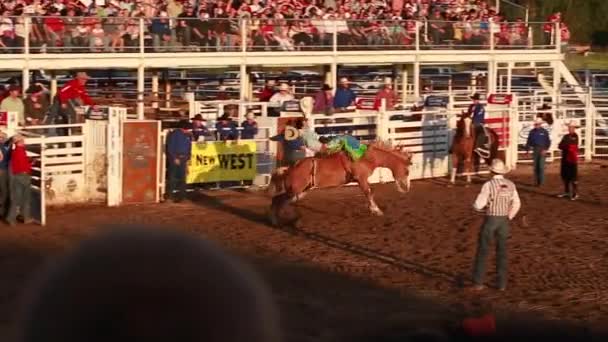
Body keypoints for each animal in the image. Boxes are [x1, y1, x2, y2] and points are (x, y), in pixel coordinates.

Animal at [270, 140, 414, 228]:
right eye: (407, 171)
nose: (406, 188)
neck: (366, 157)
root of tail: (289, 169)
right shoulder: (361, 178)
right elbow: (368, 192)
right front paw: (376, 210)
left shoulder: (362, 180)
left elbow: (370, 192)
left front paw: (372, 209)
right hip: (295, 190)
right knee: (278, 200)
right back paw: (278, 221)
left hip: (300, 190)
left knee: (278, 200)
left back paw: (278, 221)